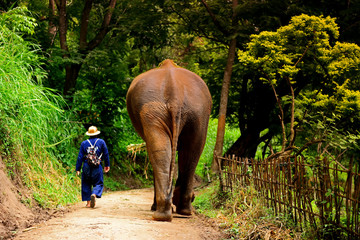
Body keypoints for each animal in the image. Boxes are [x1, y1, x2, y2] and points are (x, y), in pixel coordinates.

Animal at [126, 59, 211, 221]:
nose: (194, 197)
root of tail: (175, 91)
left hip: (183, 112)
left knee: (167, 151)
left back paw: (166, 213)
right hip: (193, 113)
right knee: (189, 151)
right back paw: (178, 212)